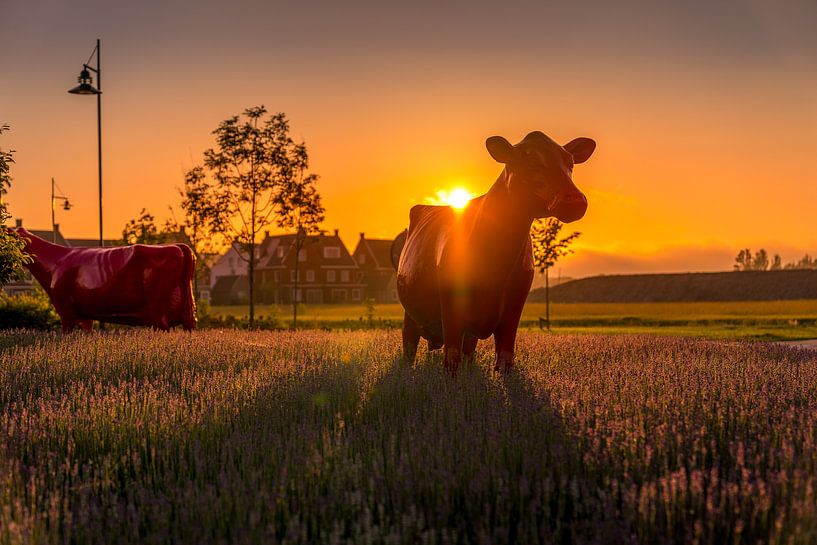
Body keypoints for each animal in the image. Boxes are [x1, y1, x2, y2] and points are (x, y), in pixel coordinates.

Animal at [15, 226, 196, 332]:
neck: (57, 261)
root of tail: (178, 246)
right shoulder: (85, 313)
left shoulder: (65, 309)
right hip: (186, 310)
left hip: (158, 311)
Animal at [394, 131, 592, 374]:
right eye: (531, 161)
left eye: (570, 163)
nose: (575, 200)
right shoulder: (451, 309)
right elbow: (451, 358)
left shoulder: (515, 303)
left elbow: (505, 358)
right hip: (410, 316)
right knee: (409, 346)